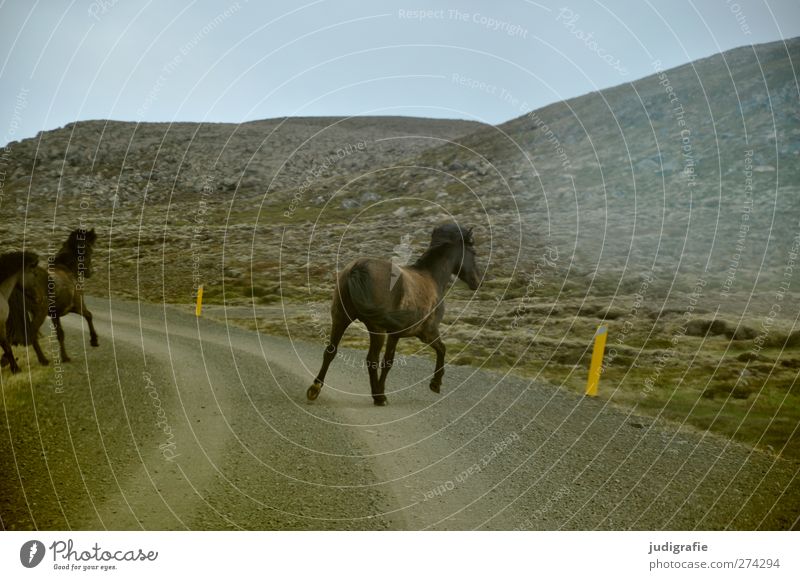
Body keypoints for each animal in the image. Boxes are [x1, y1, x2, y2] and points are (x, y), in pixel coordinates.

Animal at [6, 229, 98, 364]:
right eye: (90, 250)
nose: (90, 273)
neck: (67, 269)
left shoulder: (56, 314)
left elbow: (60, 334)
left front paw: (65, 357)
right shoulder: (77, 305)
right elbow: (89, 315)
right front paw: (94, 340)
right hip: (40, 313)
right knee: (31, 334)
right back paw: (43, 360)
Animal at [306, 224, 482, 406]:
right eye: (474, 252)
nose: (477, 281)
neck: (432, 278)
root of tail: (358, 268)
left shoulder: (395, 335)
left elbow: (388, 361)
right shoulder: (427, 332)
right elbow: (440, 350)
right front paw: (435, 384)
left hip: (340, 318)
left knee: (330, 351)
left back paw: (315, 388)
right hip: (376, 329)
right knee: (371, 359)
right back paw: (378, 397)